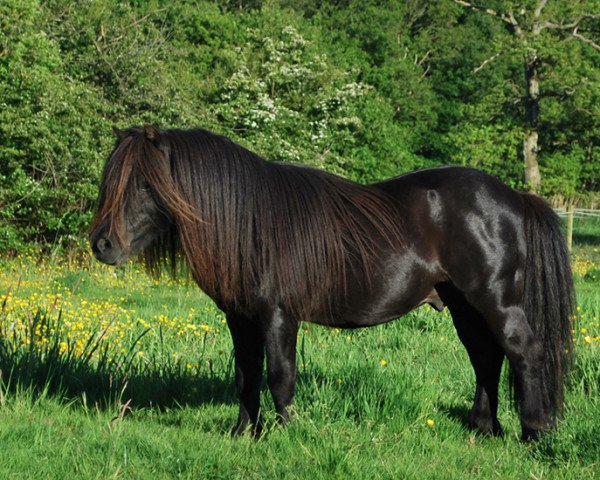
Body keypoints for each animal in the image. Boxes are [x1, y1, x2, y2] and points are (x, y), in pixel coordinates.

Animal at [90, 125, 576, 440]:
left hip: (495, 300)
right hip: (464, 305)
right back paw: (483, 429)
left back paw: (533, 432)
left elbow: (280, 376)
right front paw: (244, 433)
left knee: (523, 352)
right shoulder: (240, 319)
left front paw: (287, 435)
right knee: (486, 358)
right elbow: (245, 375)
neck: (252, 223)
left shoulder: (279, 316)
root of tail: (515, 196)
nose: (101, 244)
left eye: (144, 184)